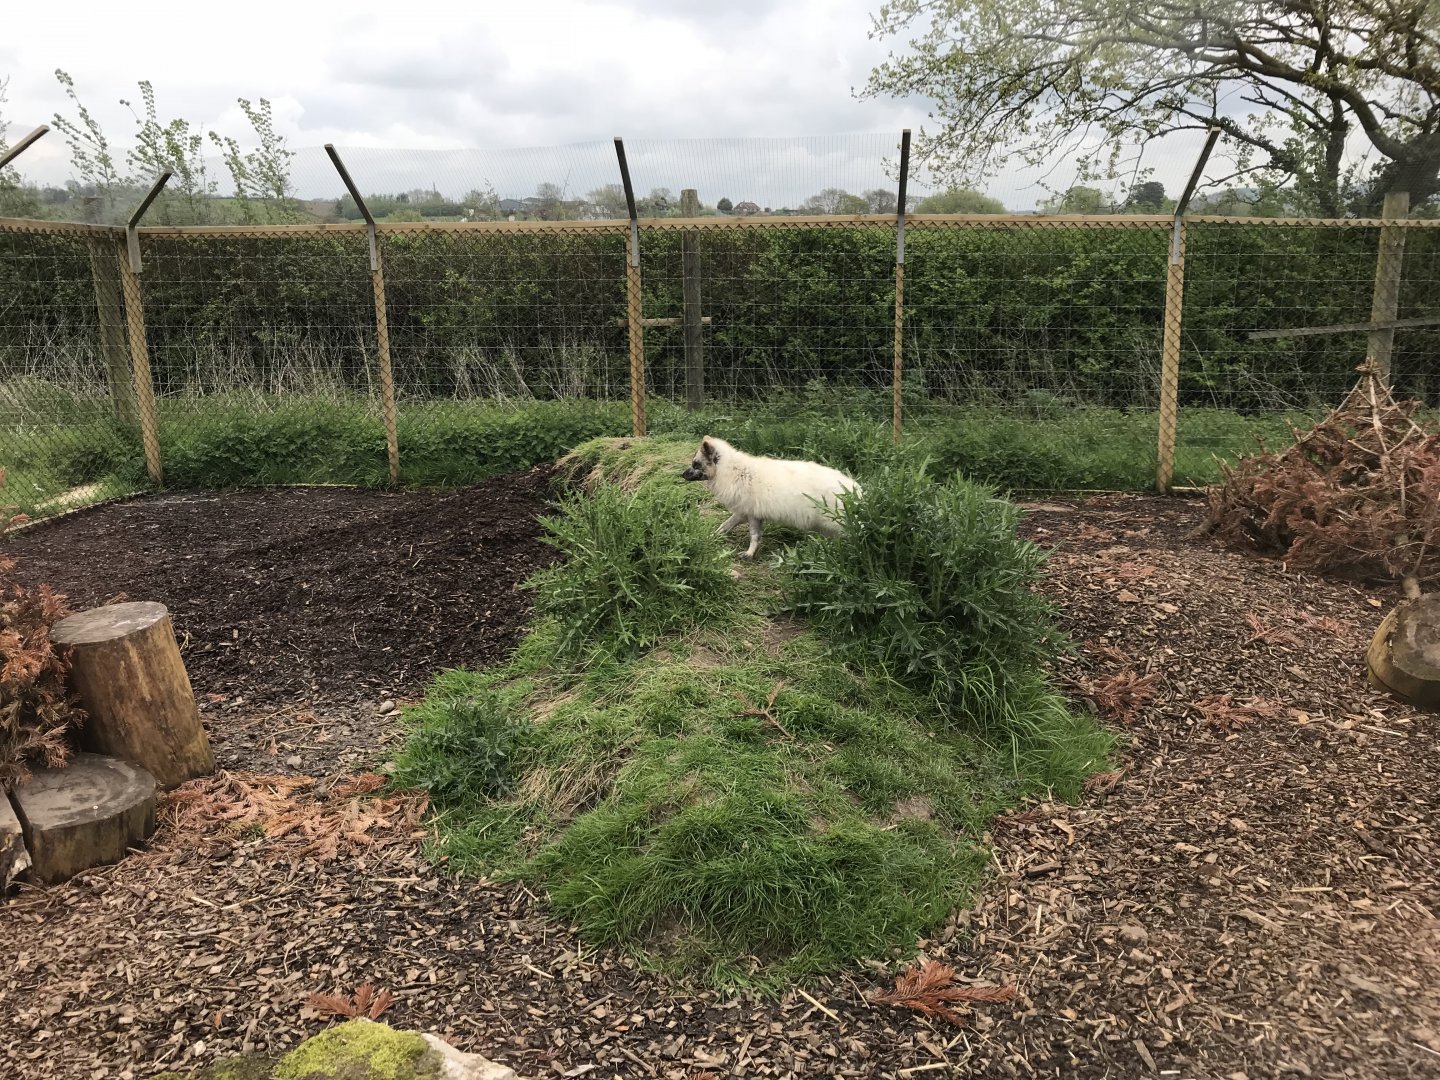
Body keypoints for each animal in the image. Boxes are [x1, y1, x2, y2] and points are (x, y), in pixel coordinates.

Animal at [680, 436, 862, 558]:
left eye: (696, 464)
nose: (682, 475)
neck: (733, 471)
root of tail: (855, 487)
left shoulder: (752, 515)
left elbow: (754, 536)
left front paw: (749, 554)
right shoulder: (743, 512)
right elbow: (725, 526)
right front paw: (711, 536)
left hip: (838, 524)